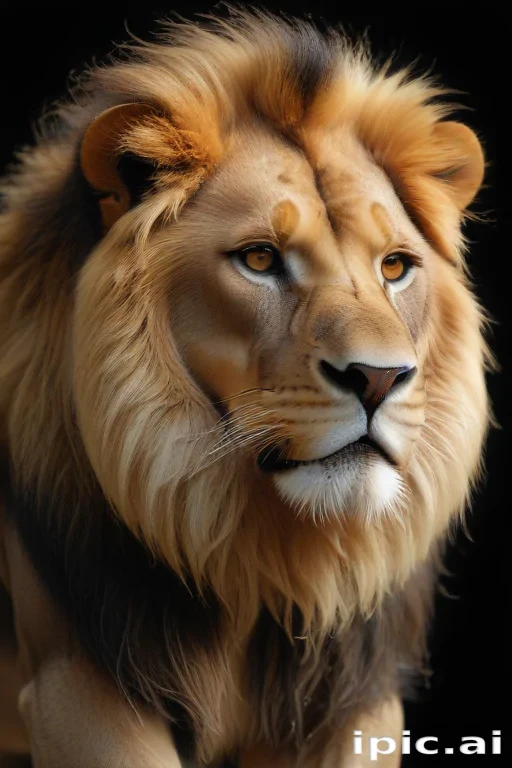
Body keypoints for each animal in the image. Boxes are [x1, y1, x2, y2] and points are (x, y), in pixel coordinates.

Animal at [0, 9, 492, 768]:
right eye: (260, 259)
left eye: (395, 267)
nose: (379, 378)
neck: (258, 566)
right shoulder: (77, 685)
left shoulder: (352, 699)